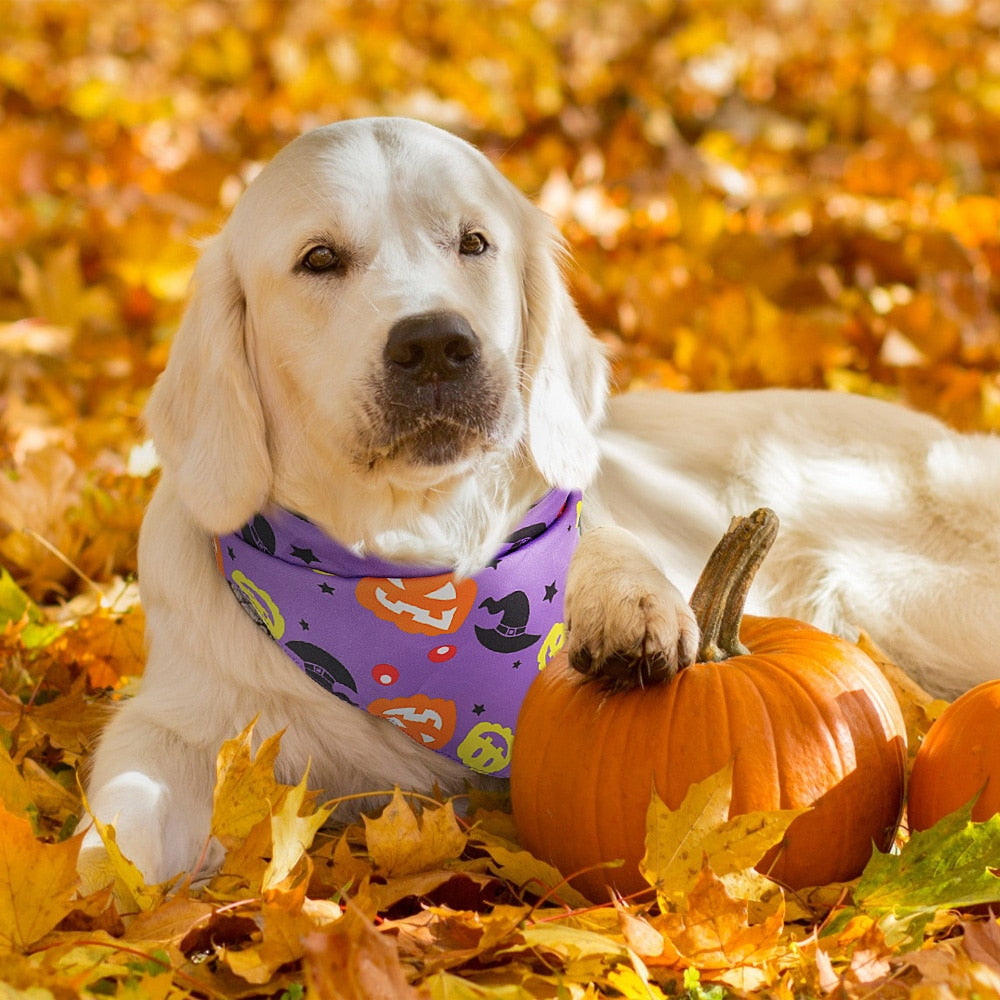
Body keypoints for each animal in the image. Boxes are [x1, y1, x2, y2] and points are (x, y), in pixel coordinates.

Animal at [80, 119, 1000, 892]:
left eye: (474, 243)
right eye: (319, 259)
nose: (435, 344)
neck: (413, 557)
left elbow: (603, 538)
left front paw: (628, 608)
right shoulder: (184, 723)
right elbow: (125, 802)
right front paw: (103, 885)